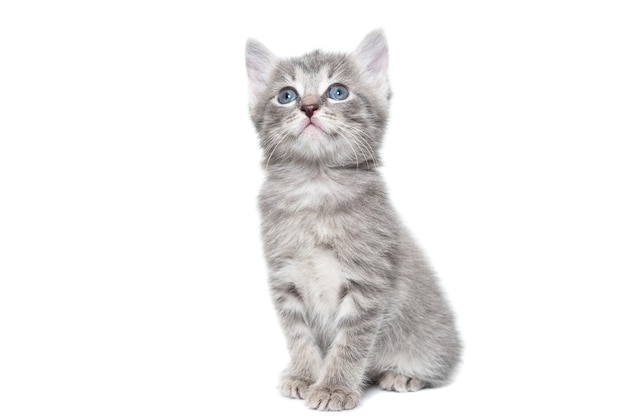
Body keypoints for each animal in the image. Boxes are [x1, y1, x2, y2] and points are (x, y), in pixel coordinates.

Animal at [246, 30, 460, 412]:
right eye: (286, 95)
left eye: (337, 92)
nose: (309, 106)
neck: (315, 190)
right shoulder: (285, 279)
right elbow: (297, 333)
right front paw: (304, 375)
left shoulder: (368, 283)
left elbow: (350, 342)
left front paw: (333, 387)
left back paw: (403, 375)